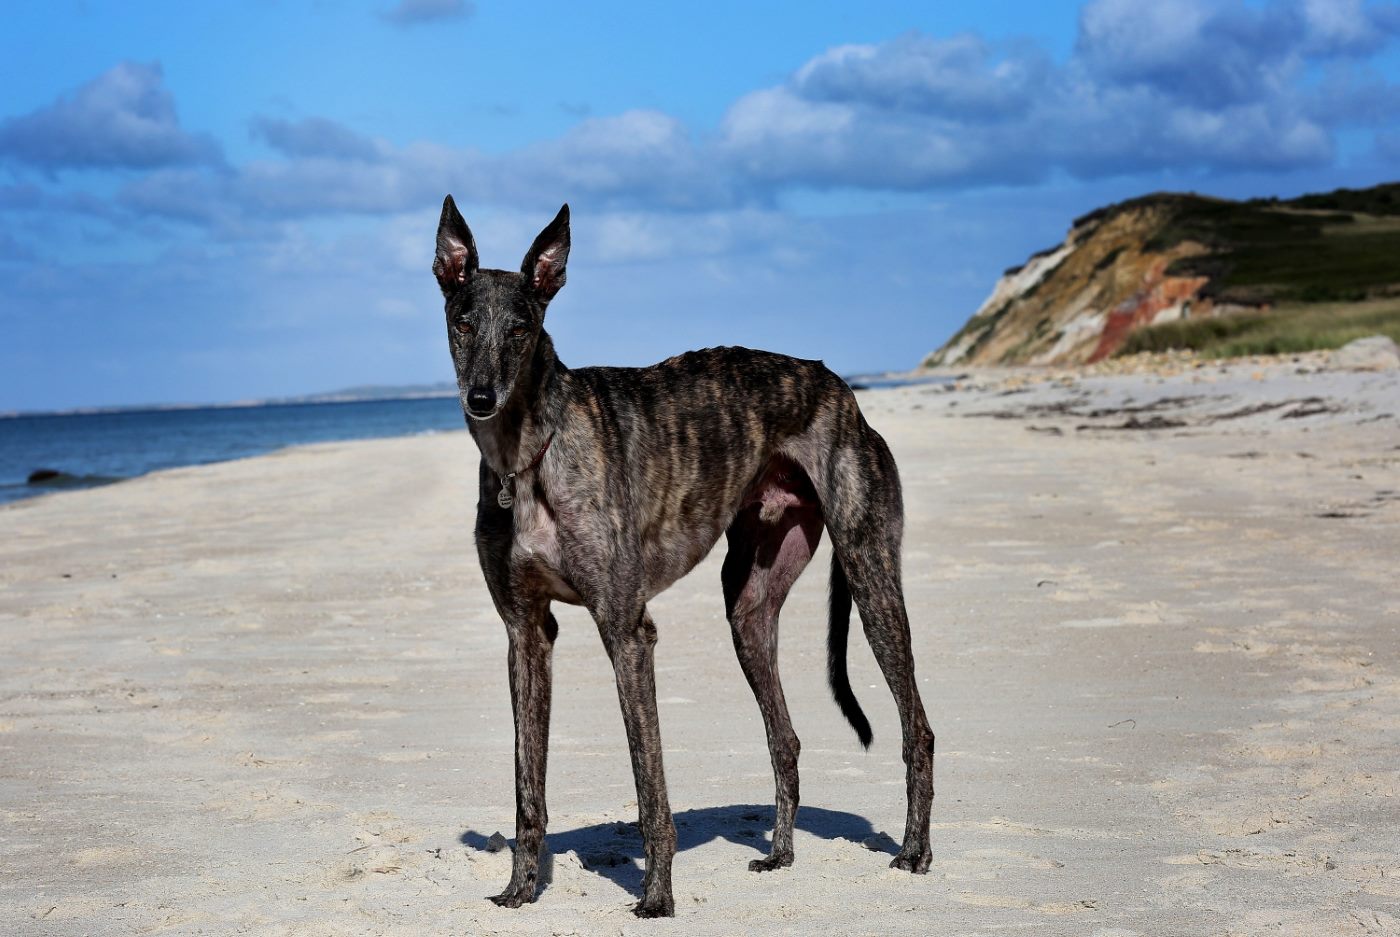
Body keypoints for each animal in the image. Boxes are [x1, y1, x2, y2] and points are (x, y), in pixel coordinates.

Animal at [433, 196, 934, 917]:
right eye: (463, 320)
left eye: (523, 328)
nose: (481, 398)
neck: (529, 455)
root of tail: (843, 390)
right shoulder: (526, 633)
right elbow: (529, 784)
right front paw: (519, 890)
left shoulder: (626, 628)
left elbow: (651, 786)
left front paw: (657, 897)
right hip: (749, 608)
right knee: (785, 737)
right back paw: (780, 853)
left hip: (870, 580)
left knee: (916, 724)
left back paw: (915, 849)